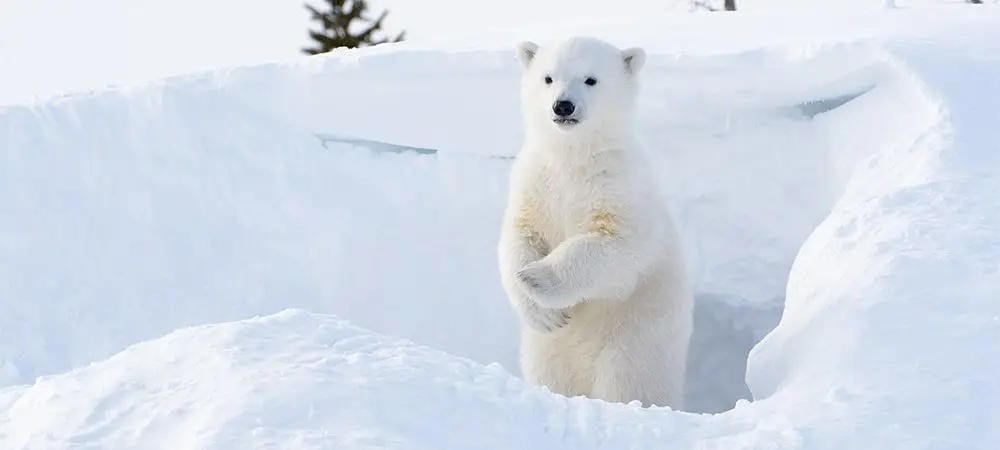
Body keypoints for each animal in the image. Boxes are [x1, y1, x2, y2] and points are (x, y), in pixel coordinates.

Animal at [494, 37, 692, 410]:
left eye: (591, 79)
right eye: (548, 77)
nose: (563, 106)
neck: (573, 158)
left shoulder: (620, 188)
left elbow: (615, 246)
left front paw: (536, 278)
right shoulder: (534, 182)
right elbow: (519, 235)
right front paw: (543, 310)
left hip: (635, 341)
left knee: (629, 384)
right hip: (547, 351)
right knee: (551, 375)